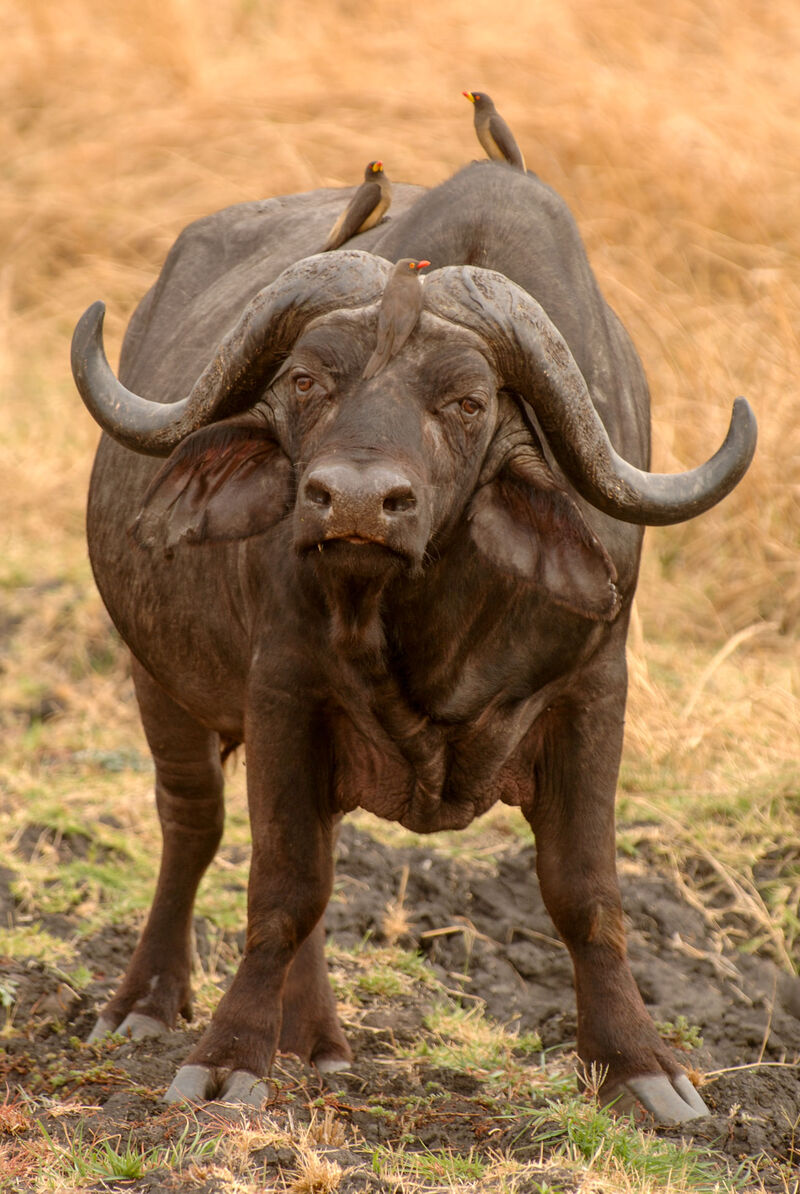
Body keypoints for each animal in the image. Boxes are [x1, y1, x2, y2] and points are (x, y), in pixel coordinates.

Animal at [71, 162, 756, 1123]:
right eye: (307, 381)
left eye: (467, 401)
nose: (354, 503)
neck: (433, 627)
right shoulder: (283, 689)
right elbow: (282, 887)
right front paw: (228, 1057)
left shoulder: (594, 690)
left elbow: (585, 893)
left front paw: (640, 1067)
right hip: (157, 679)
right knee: (195, 824)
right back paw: (146, 1003)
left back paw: (314, 1038)